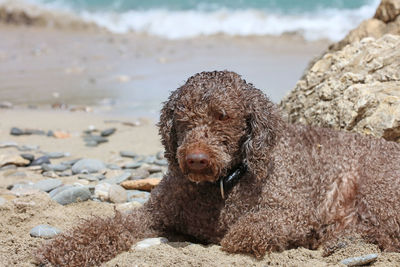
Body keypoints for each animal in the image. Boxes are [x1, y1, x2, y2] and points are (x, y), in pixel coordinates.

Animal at [36, 70, 400, 266]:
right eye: (182, 117)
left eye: (223, 116)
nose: (196, 158)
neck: (222, 186)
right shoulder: (151, 216)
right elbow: (106, 227)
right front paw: (62, 249)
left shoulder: (291, 211)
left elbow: (245, 233)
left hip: (374, 187)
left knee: (386, 234)